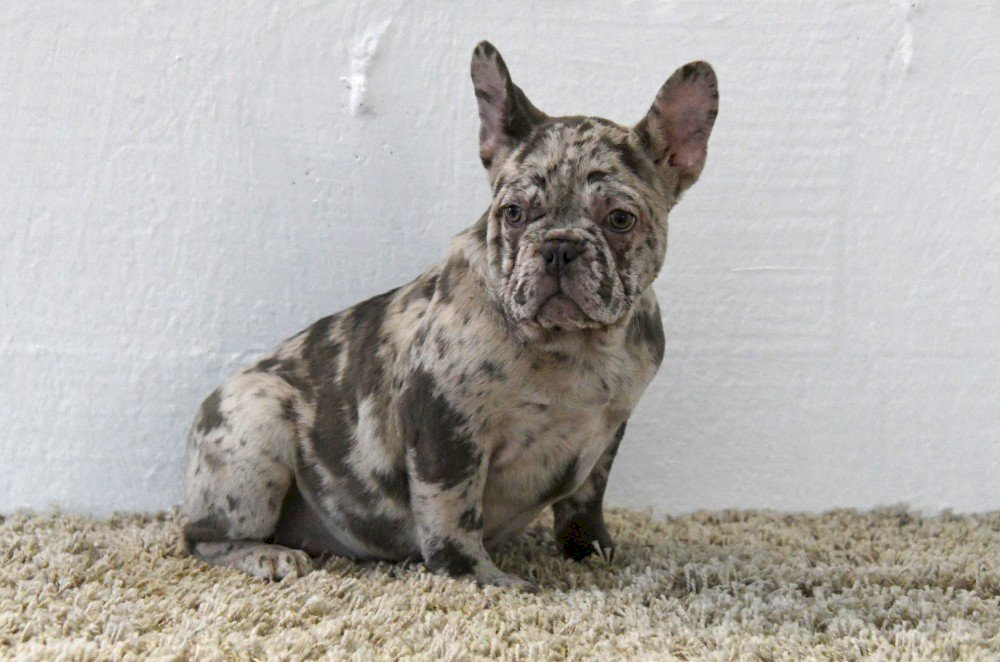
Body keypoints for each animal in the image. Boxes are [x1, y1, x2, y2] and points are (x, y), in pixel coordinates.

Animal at [182, 41, 718, 590]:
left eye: (620, 220)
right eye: (513, 213)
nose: (559, 248)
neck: (574, 344)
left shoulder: (607, 432)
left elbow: (585, 500)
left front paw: (592, 550)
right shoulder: (446, 423)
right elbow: (452, 512)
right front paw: (480, 578)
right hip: (256, 430)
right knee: (201, 537)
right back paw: (266, 556)